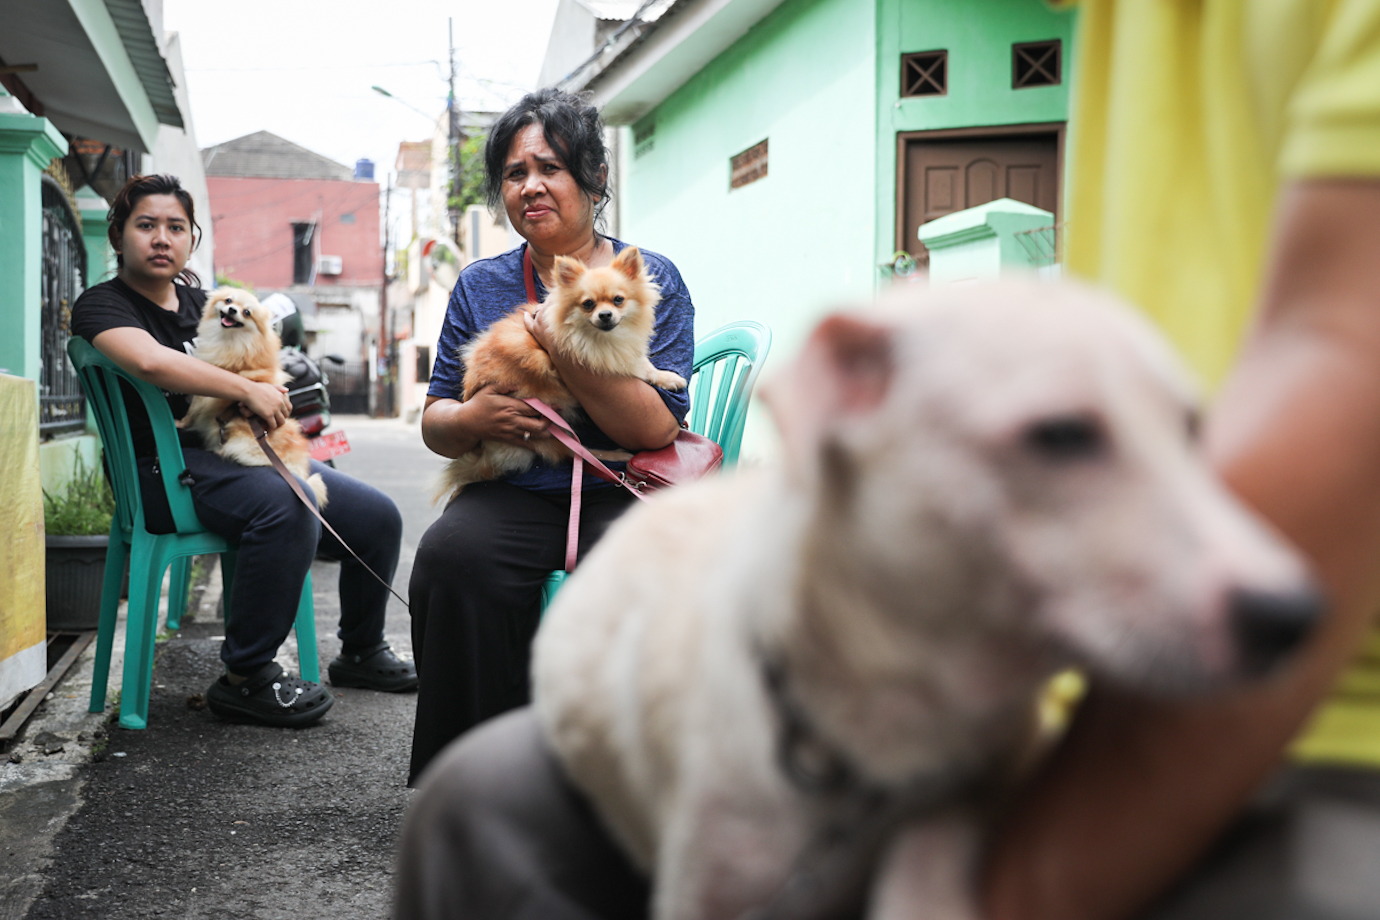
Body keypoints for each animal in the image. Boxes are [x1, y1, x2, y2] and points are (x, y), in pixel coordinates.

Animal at [180, 288, 328, 507]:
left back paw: (220, 450)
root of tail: (296, 471)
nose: (232, 310)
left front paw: (180, 423)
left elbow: (192, 410)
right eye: (228, 301)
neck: (230, 340)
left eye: (247, 312)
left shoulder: (205, 388)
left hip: (240, 440)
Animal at [436, 244, 684, 499]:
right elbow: (635, 368)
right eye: (588, 304)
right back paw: (614, 456)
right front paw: (666, 377)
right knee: (574, 452)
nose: (605, 315)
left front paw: (667, 377)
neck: (601, 337)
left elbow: (643, 363)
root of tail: (488, 451)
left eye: (618, 300)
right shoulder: (589, 357)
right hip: (548, 427)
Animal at [529, 281, 1324, 920]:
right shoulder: (708, 889)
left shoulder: (990, 771)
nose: (1296, 618)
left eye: (1193, 431)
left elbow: (939, 830)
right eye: (1060, 434)